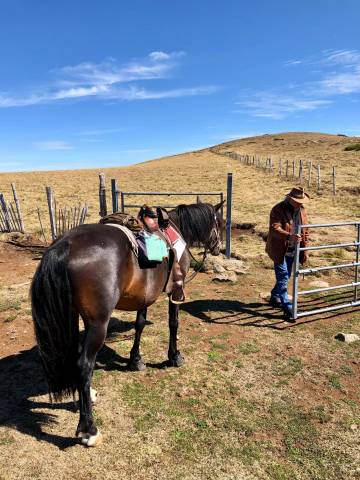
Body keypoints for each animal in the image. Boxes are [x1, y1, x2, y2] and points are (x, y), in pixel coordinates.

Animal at [31, 202, 222, 446]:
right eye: (220, 222)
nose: (217, 248)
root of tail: (65, 245)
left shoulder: (144, 296)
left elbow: (140, 324)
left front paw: (135, 360)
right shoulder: (175, 292)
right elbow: (174, 323)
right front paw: (174, 356)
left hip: (75, 317)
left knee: (75, 357)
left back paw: (88, 396)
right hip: (98, 324)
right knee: (84, 364)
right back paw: (88, 430)